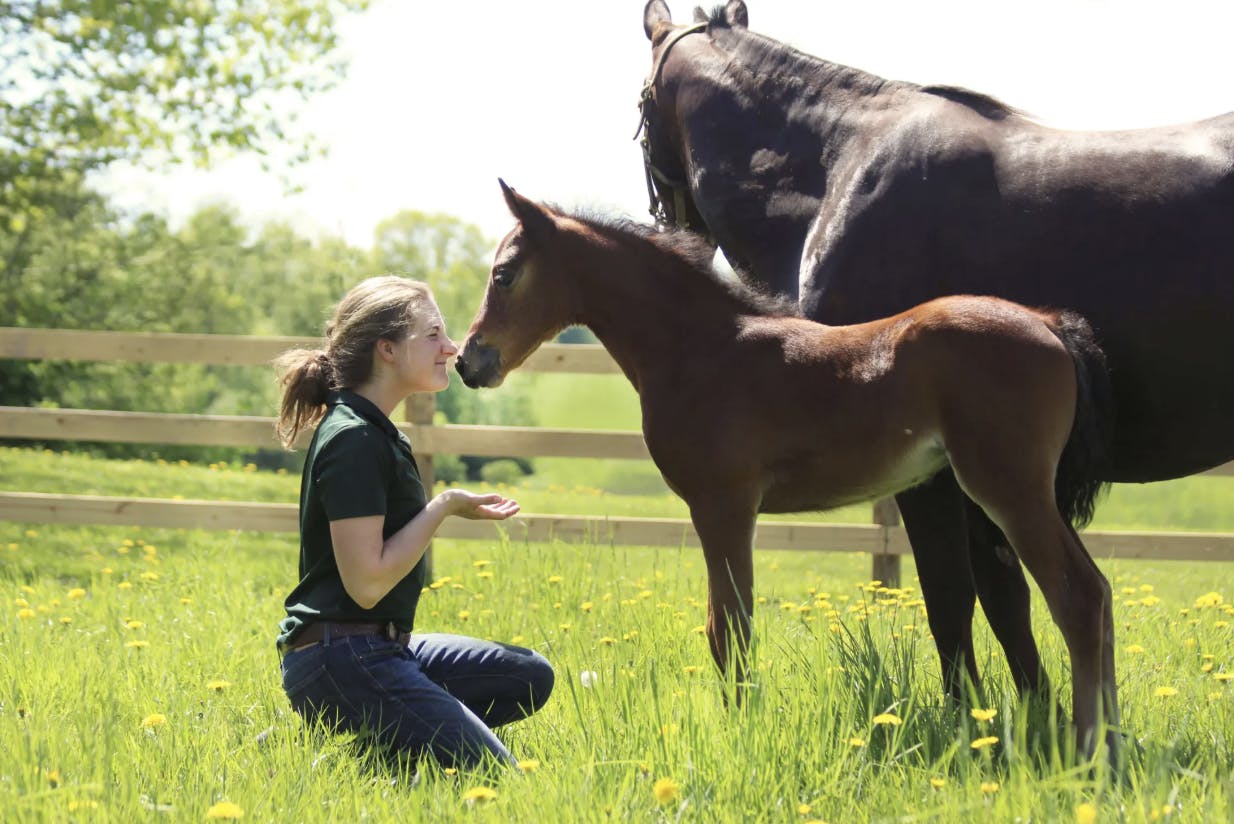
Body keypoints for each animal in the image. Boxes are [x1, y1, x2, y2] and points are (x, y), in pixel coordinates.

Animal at [457, 180, 1119, 760]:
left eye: (504, 273)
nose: (469, 360)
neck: (701, 349)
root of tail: (1047, 324)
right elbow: (730, 626)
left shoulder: (722, 505)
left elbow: (730, 629)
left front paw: (738, 734)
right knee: (1097, 591)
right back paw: (1109, 742)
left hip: (1009, 488)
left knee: (1078, 595)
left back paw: (1092, 749)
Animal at [638, 0, 1234, 704]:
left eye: (641, 110)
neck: (837, 172)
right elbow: (1006, 598)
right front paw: (1035, 712)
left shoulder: (930, 476)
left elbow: (951, 597)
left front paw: (969, 713)